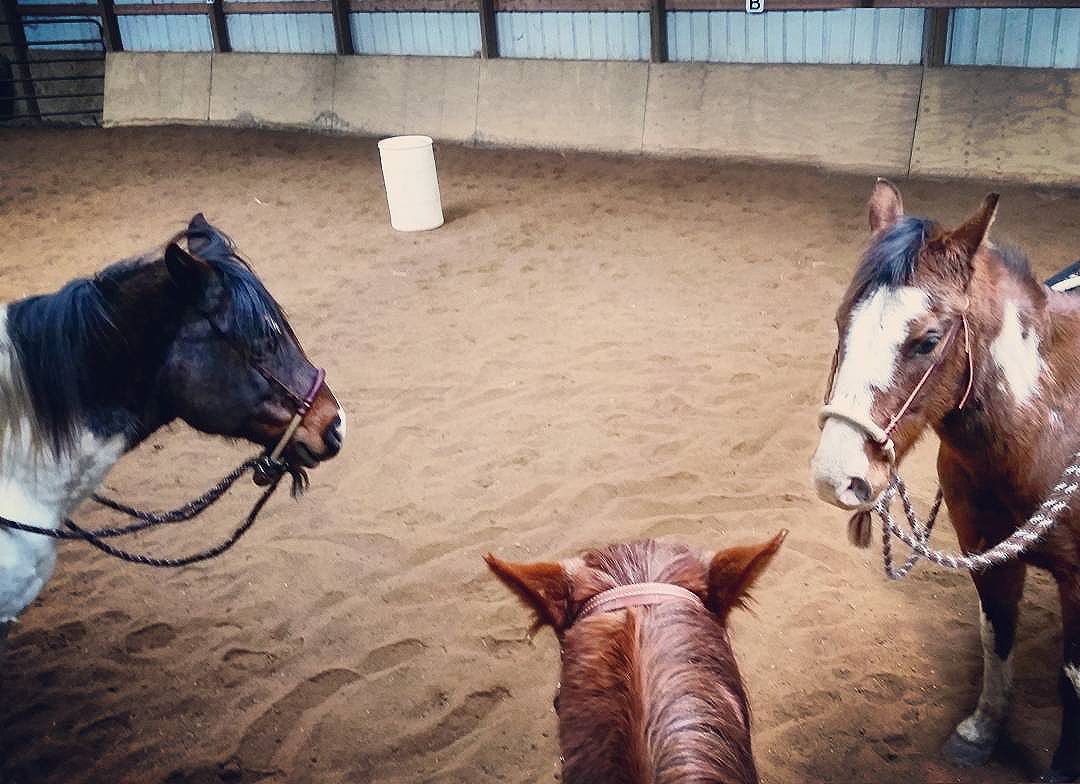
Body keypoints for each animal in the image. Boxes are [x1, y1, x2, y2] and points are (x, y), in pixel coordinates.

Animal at [810, 179, 1080, 781]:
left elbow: (1074, 675)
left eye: (928, 340)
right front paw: (980, 732)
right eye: (841, 323)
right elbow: (997, 633)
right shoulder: (987, 550)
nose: (836, 477)